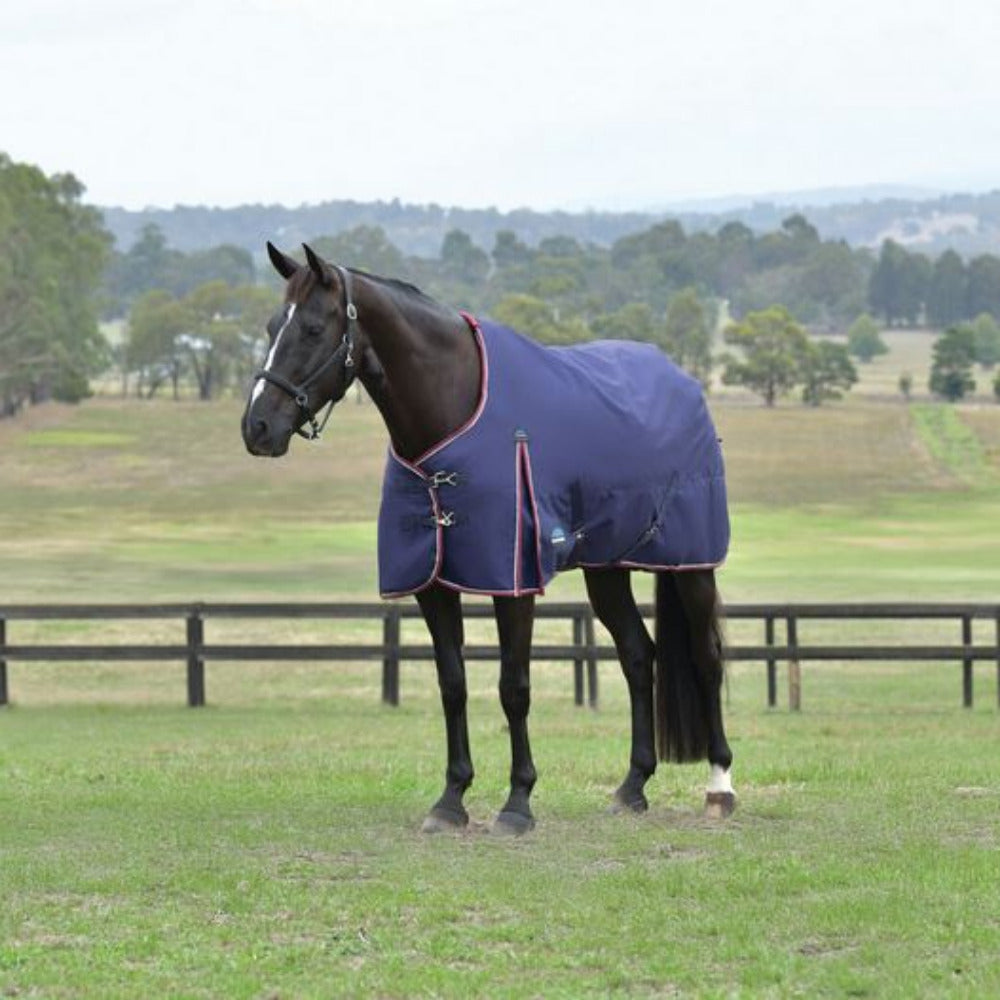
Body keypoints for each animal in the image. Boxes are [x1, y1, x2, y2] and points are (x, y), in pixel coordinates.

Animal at [242, 242, 735, 835]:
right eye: (273, 326)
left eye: (313, 328)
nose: (256, 428)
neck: (452, 414)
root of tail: (683, 384)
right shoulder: (432, 584)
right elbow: (452, 684)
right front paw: (451, 800)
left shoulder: (512, 581)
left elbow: (513, 687)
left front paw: (517, 803)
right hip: (606, 569)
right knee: (639, 656)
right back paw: (632, 787)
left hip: (692, 565)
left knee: (706, 658)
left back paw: (720, 787)